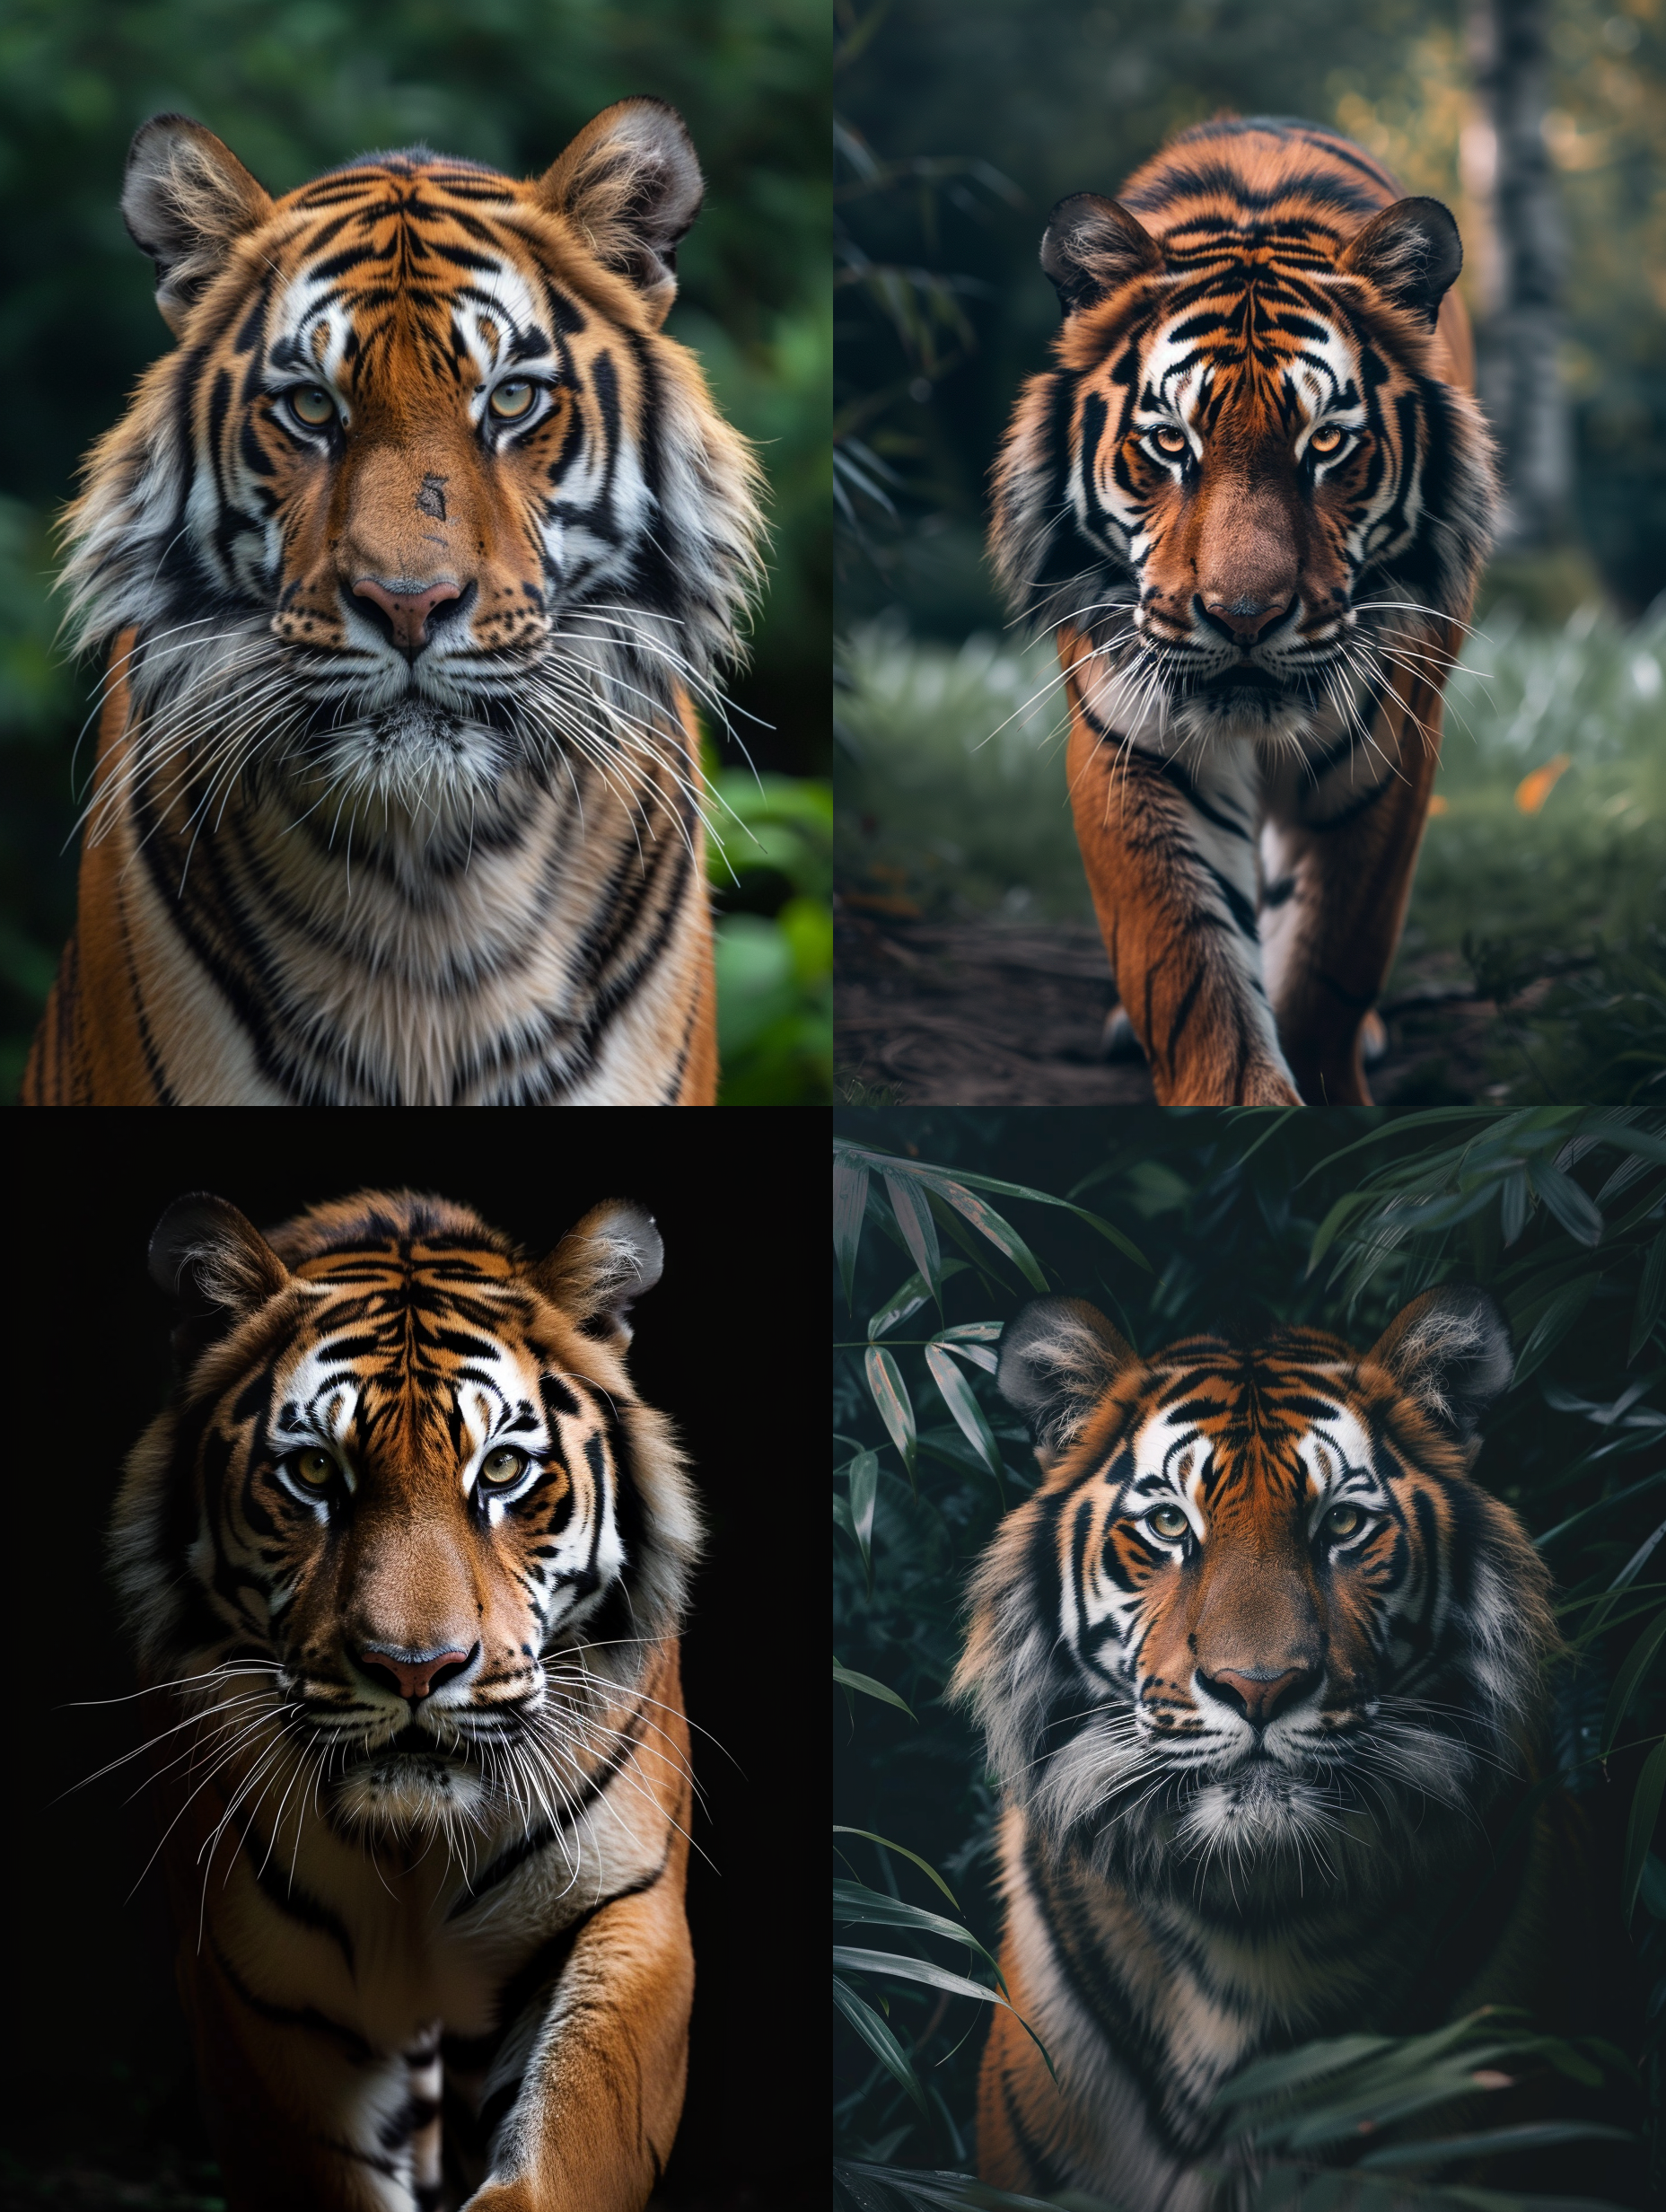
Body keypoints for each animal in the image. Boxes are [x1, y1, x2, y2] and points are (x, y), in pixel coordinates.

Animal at [110, 1187, 702, 2211]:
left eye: (500, 1470)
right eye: (313, 1471)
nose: (417, 1668)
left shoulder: (623, 1911)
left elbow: (562, 2149)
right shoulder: (255, 1986)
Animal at [990, 116, 1499, 1104]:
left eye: (1327, 443)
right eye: (1167, 442)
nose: (1244, 618)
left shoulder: (1388, 754)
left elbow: (1332, 958)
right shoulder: (1130, 744)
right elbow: (1189, 967)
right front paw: (1237, 1101)